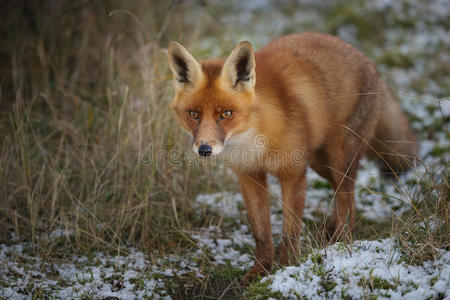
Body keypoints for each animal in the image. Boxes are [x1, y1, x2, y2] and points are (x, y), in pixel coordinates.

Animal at [166, 33, 418, 284]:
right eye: (194, 114)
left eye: (226, 114)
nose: (204, 149)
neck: (257, 141)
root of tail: (369, 63)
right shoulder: (249, 176)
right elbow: (261, 233)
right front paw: (261, 270)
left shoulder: (293, 174)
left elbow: (290, 232)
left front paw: (287, 268)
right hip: (320, 164)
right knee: (345, 195)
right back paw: (332, 233)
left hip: (338, 158)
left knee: (347, 198)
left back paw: (341, 240)